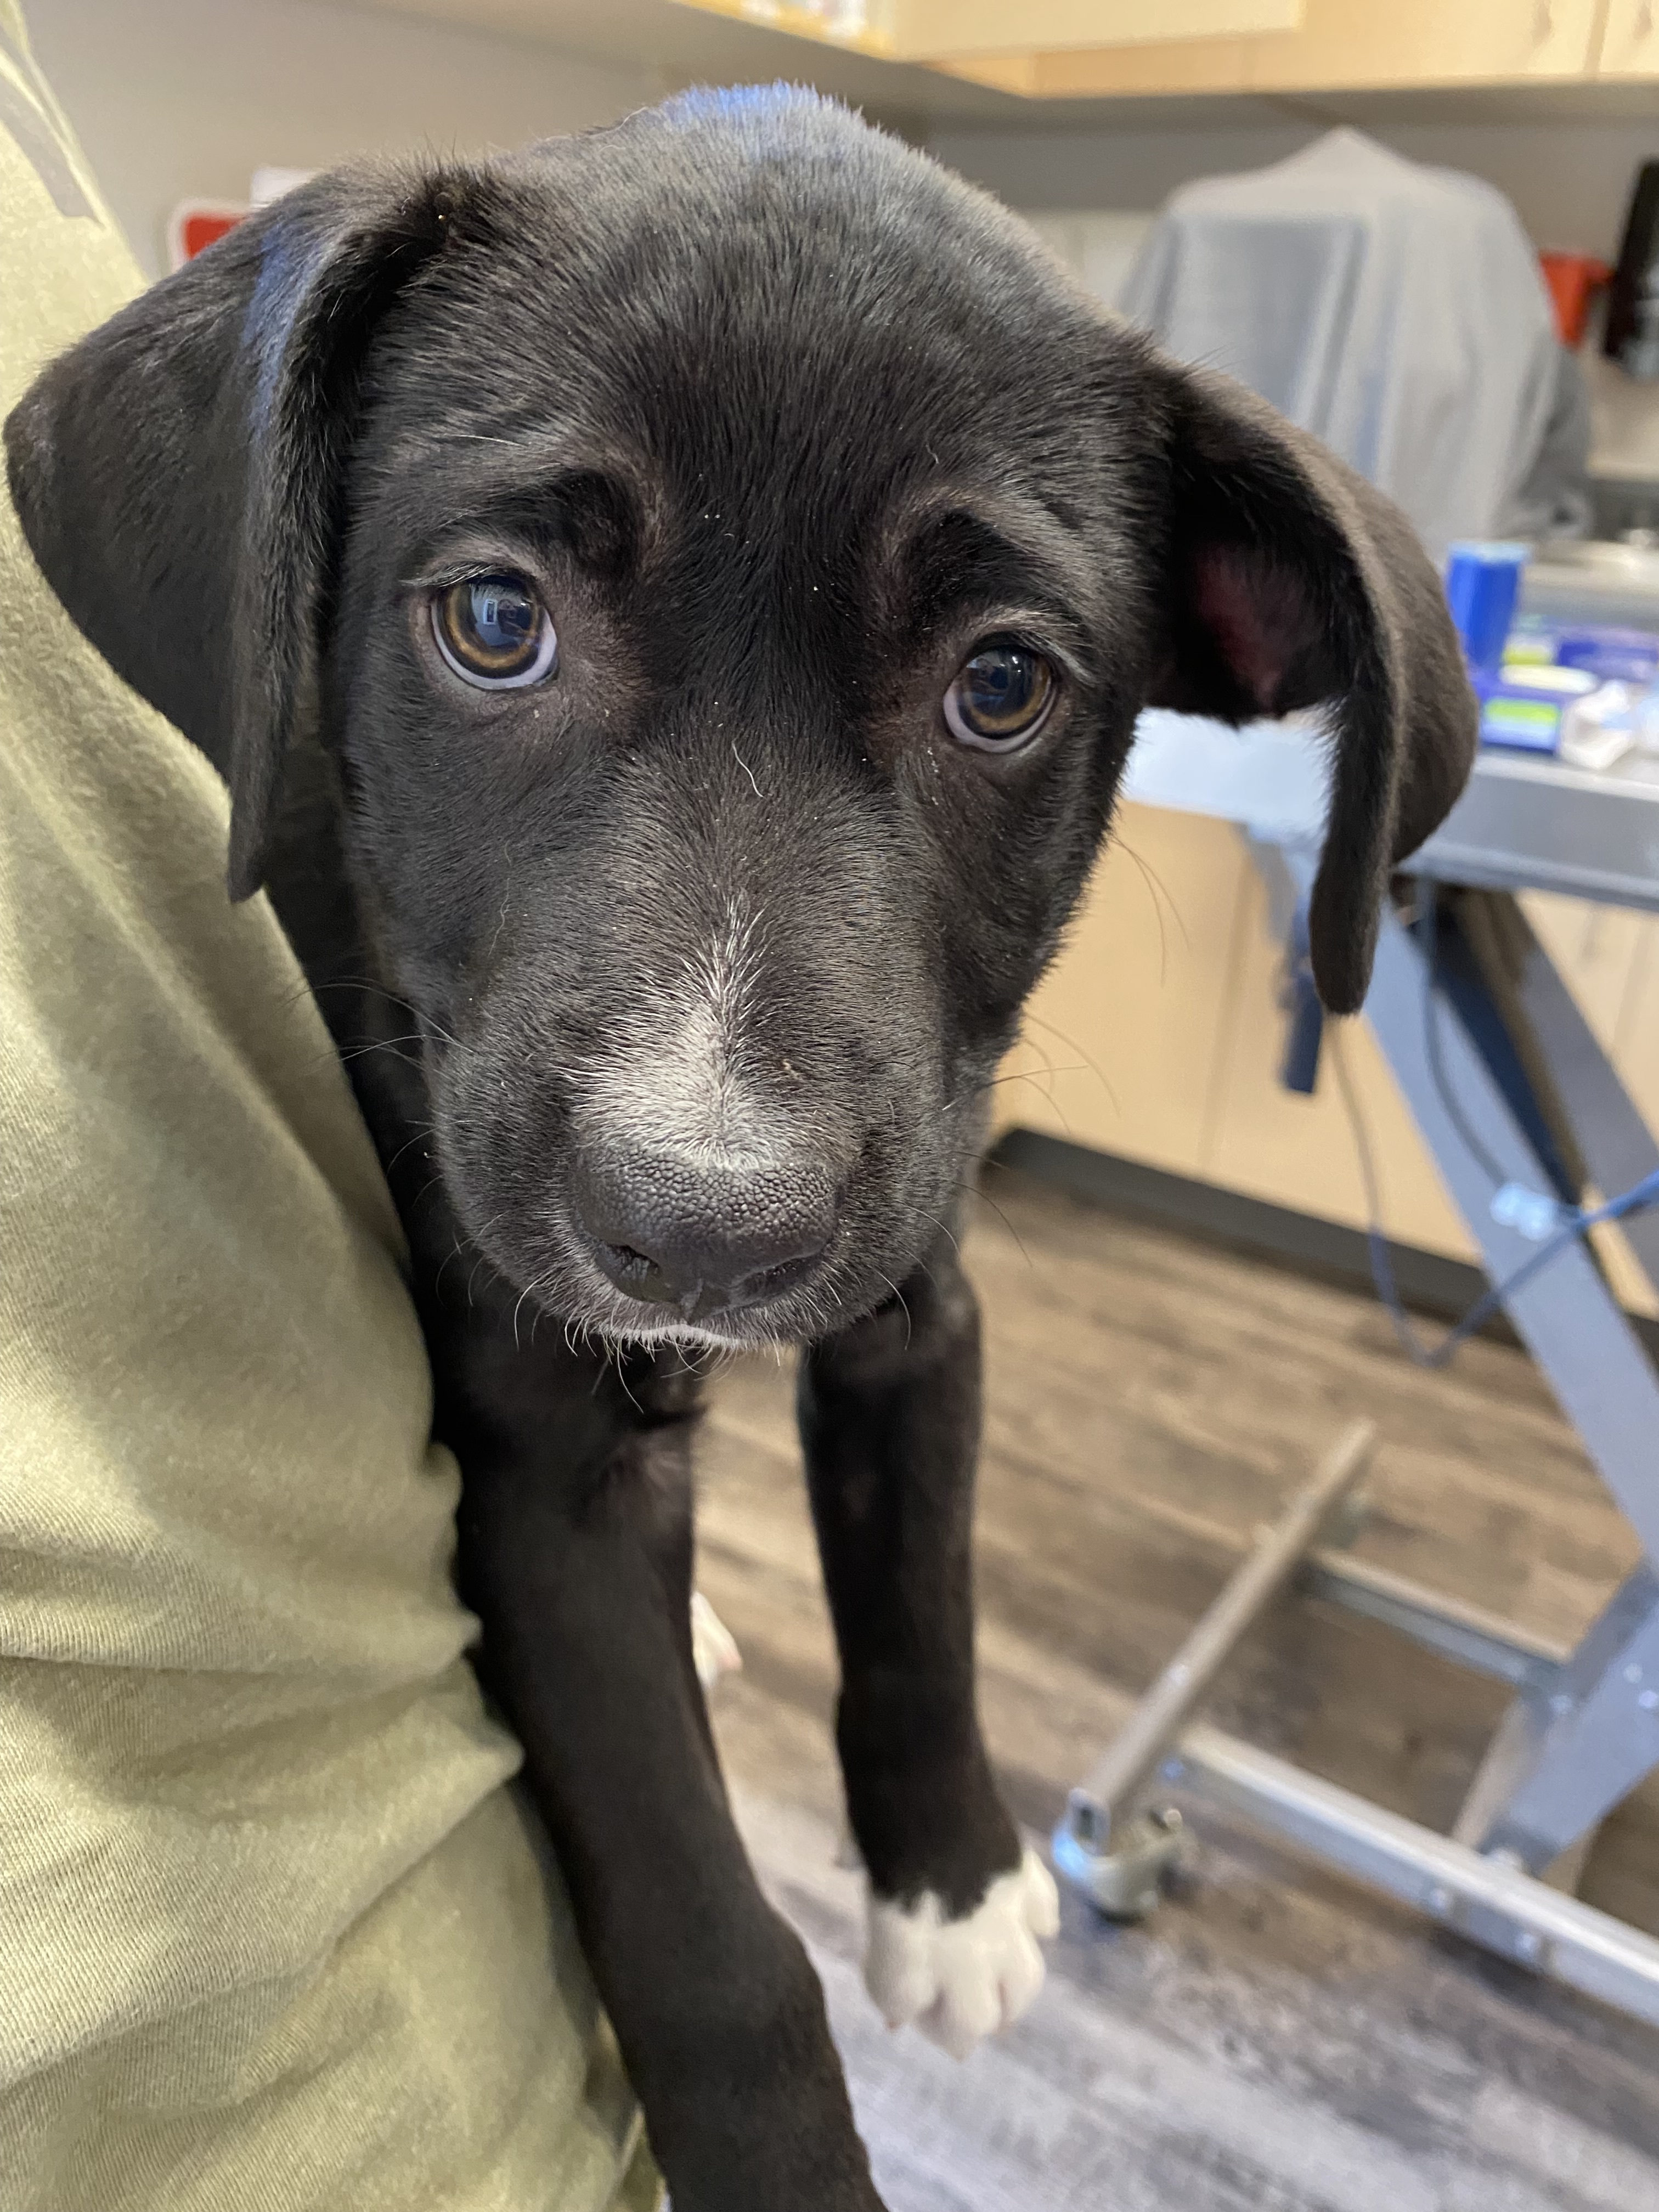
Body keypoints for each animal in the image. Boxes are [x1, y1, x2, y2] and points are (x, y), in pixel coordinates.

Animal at [3, 86, 1477, 2212]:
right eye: (496, 623)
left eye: (1004, 685)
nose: (703, 1235)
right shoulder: (539, 1443)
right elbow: (710, 1936)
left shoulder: (914, 1289)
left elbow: (919, 1587)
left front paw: (952, 1886)